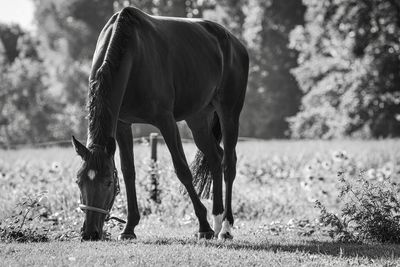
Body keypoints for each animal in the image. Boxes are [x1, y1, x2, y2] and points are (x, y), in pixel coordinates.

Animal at [70, 6, 248, 242]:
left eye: (108, 181)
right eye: (79, 181)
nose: (90, 233)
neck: (132, 53)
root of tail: (236, 44)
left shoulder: (166, 121)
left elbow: (182, 170)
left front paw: (203, 225)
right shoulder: (122, 124)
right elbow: (129, 172)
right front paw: (129, 228)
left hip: (229, 113)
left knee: (228, 164)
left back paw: (225, 227)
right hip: (198, 119)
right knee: (215, 158)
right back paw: (218, 219)